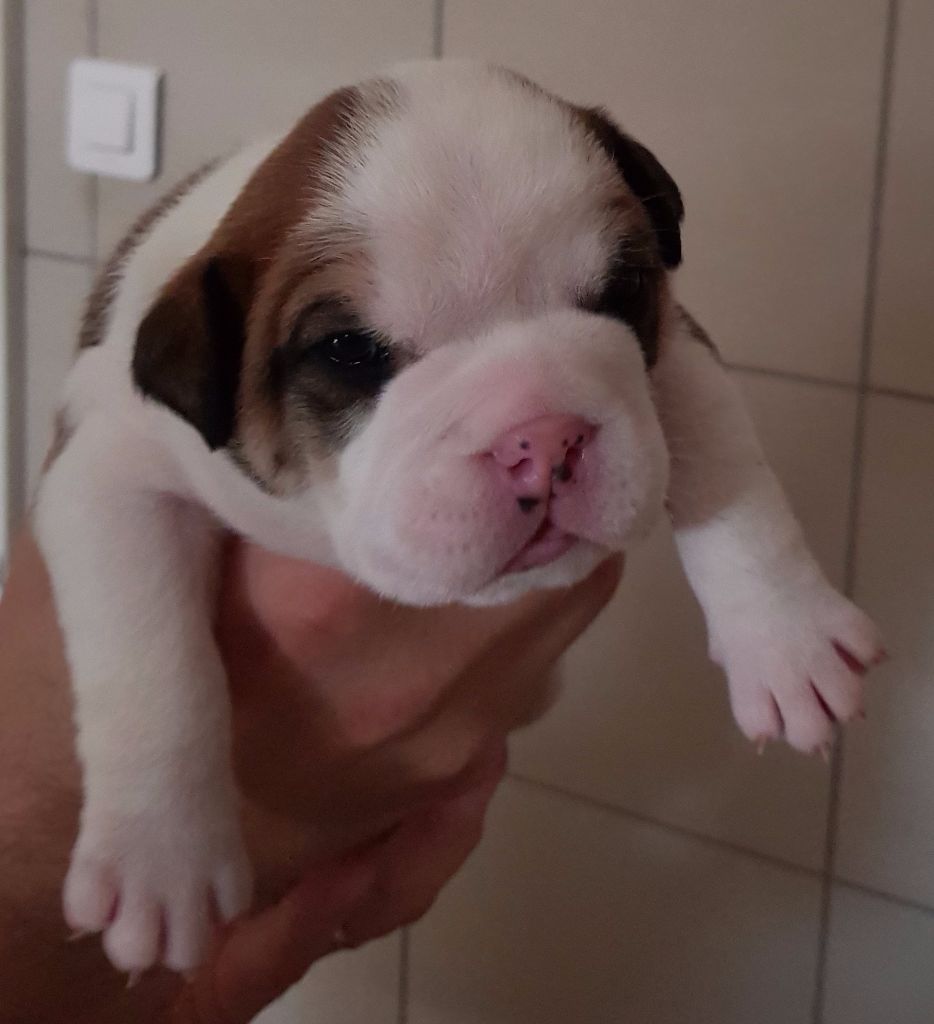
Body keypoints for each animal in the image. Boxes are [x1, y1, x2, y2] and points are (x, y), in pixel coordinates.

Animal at [34, 58, 884, 973]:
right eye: (349, 352)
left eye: (622, 292)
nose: (543, 436)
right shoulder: (104, 472)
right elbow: (151, 658)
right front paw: (161, 856)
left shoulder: (676, 350)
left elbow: (728, 469)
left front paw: (787, 636)